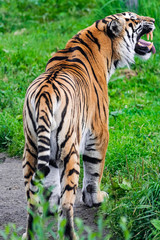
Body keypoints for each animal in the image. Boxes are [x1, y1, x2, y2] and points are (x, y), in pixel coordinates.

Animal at [22, 11, 155, 240]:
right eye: (135, 19)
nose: (153, 21)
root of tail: (45, 95)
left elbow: (50, 182)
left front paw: (49, 205)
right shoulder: (99, 131)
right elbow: (94, 170)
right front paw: (96, 198)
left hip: (31, 148)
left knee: (32, 198)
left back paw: (31, 233)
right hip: (70, 150)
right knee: (67, 203)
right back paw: (70, 234)